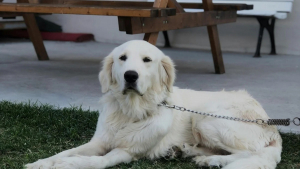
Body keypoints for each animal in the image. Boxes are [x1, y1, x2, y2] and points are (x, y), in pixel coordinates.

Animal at [25, 40, 282, 168]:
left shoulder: (128, 152)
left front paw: (70, 164)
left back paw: (212, 160)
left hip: (206, 117)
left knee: (252, 153)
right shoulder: (99, 142)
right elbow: (65, 151)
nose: (130, 76)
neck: (131, 111)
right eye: (122, 58)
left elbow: (98, 161)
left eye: (147, 60)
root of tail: (272, 125)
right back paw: (184, 151)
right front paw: (42, 163)